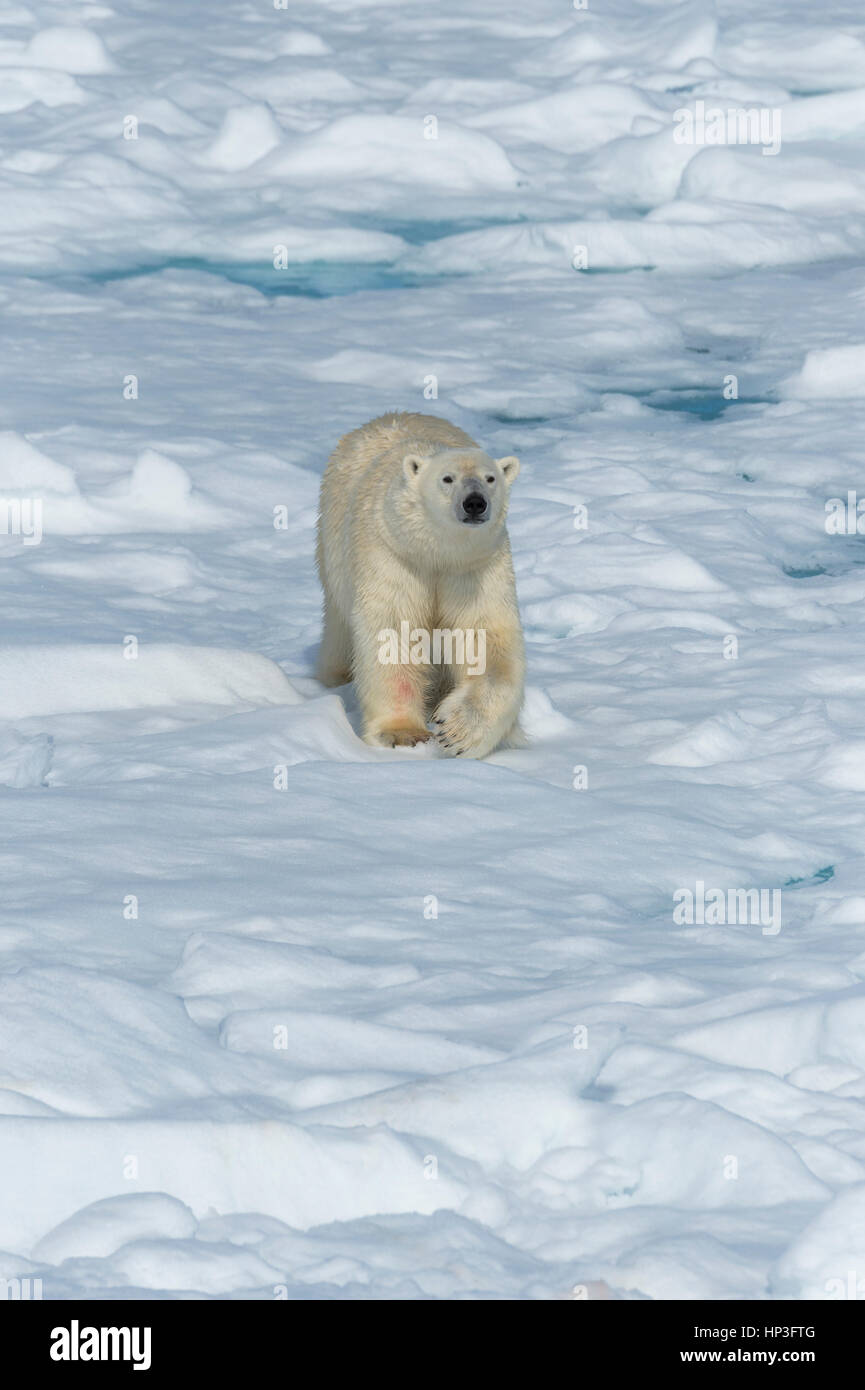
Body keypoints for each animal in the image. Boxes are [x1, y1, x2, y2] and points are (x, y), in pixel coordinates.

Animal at [317, 411, 525, 761]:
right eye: (447, 479)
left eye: (490, 478)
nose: (475, 503)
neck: (436, 554)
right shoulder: (393, 555)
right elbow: (393, 631)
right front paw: (402, 734)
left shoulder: (474, 568)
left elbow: (484, 637)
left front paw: (457, 731)